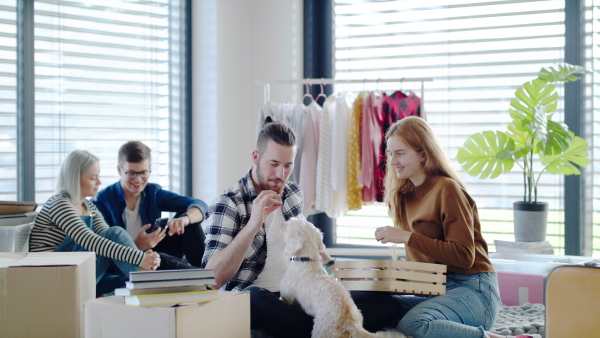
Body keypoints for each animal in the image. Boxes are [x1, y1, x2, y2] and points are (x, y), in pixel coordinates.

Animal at [278, 218, 406, 336]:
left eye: (289, 222)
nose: (282, 224)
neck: (307, 261)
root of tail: (349, 323)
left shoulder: (287, 295)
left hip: (320, 331)